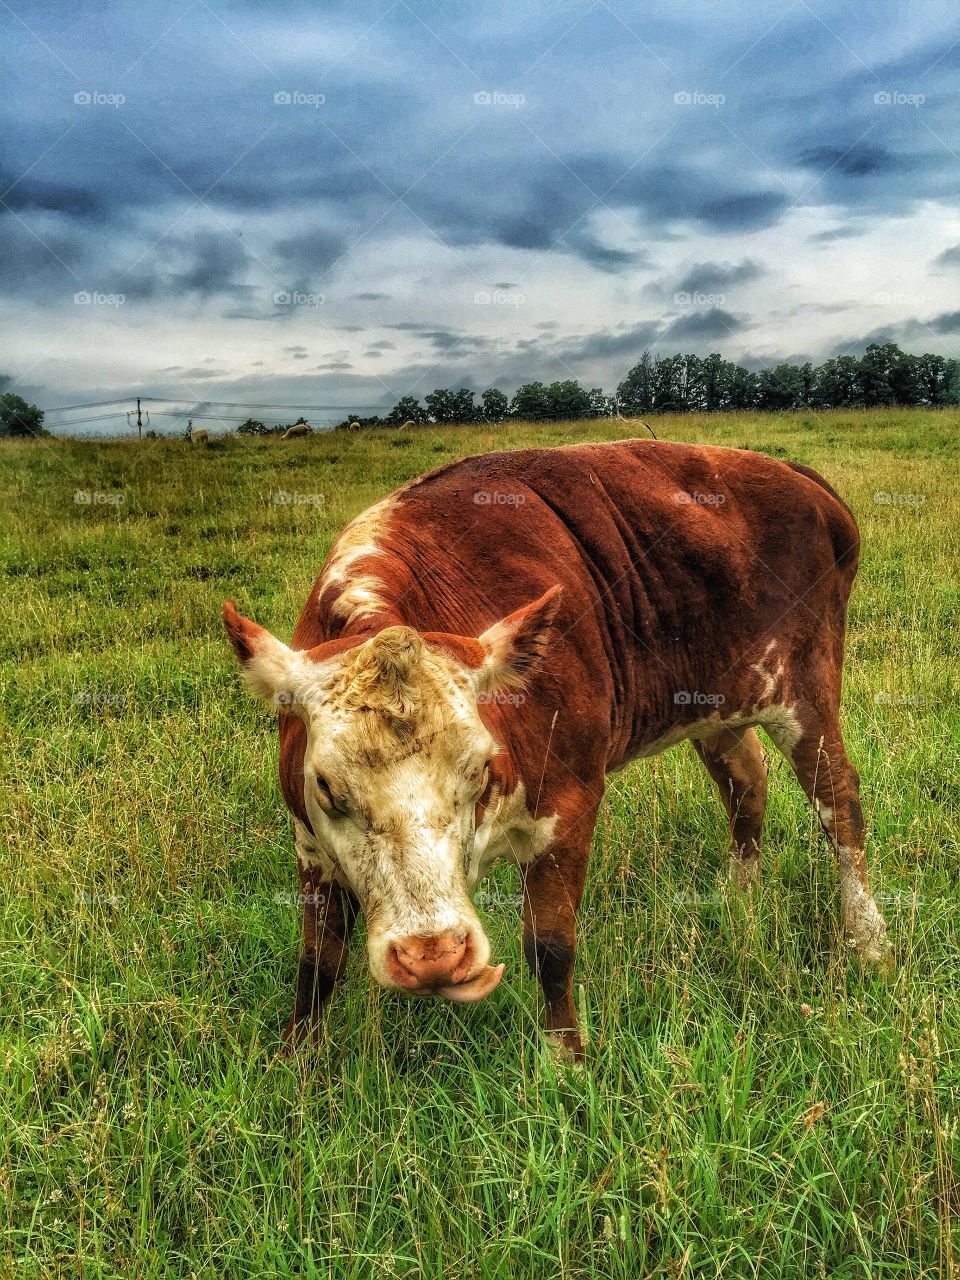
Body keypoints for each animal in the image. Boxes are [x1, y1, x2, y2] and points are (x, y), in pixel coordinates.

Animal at [221, 440, 890, 1059]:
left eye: (480, 767)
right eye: (327, 785)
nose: (434, 956)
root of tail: (792, 473)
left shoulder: (569, 801)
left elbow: (550, 945)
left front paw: (565, 1060)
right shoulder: (309, 839)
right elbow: (319, 956)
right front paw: (298, 1061)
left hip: (804, 692)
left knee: (839, 801)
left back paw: (867, 938)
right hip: (717, 703)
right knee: (747, 783)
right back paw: (739, 904)